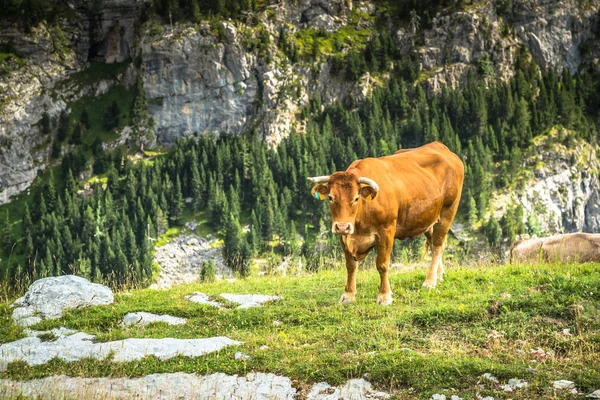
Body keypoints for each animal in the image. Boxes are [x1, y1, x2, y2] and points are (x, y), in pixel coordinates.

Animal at [310, 141, 464, 304]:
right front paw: (348, 295)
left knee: (437, 246)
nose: (342, 226)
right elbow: (350, 266)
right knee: (436, 242)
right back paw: (438, 275)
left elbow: (382, 265)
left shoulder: (386, 231)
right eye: (331, 197)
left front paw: (384, 296)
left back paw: (429, 281)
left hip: (448, 211)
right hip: (428, 218)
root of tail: (439, 146)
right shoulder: (344, 237)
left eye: (356, 198)